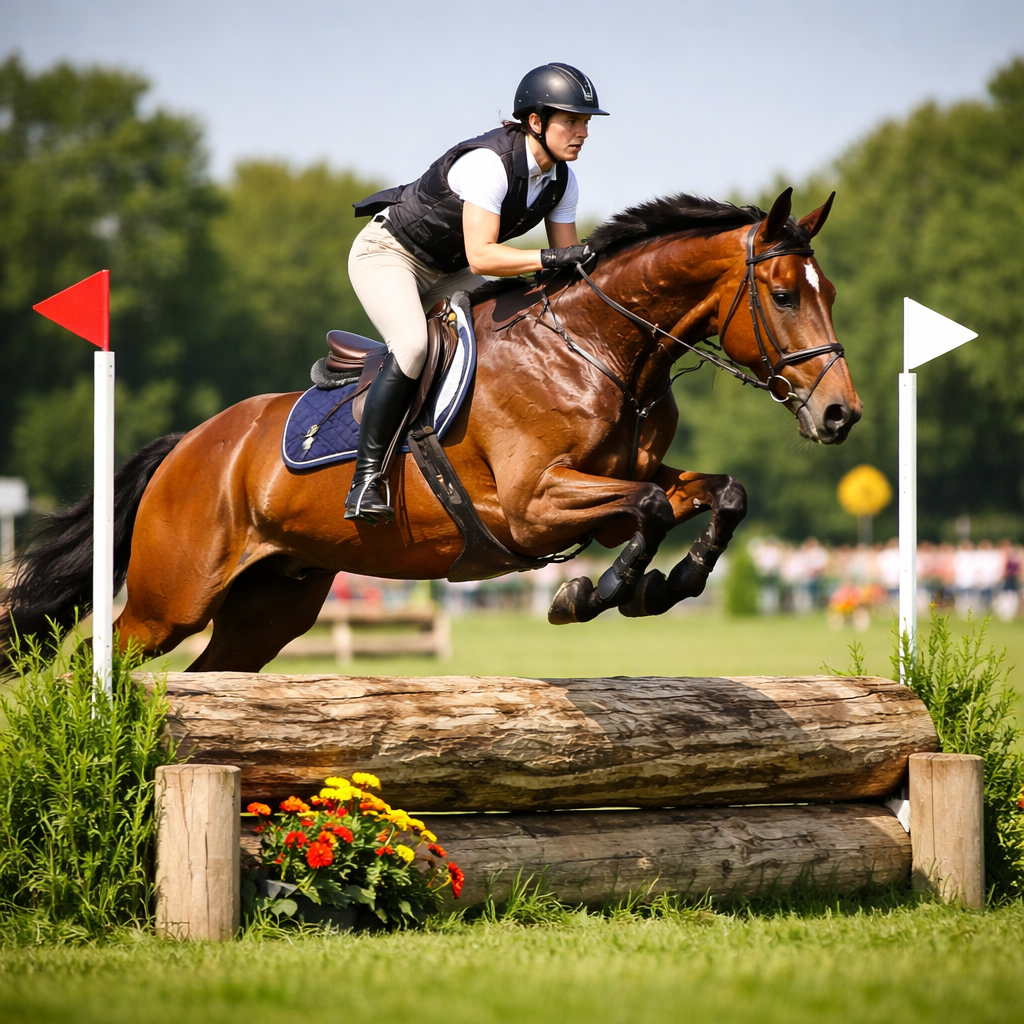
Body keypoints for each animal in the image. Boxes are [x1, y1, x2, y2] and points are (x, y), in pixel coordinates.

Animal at [4, 188, 861, 671]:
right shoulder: (530, 506)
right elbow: (648, 511)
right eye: (784, 294)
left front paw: (668, 584)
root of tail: (187, 446)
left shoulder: (629, 483)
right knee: (103, 654)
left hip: (270, 606)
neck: (598, 350)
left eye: (832, 292)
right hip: (170, 601)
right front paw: (593, 593)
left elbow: (720, 495)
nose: (840, 413)